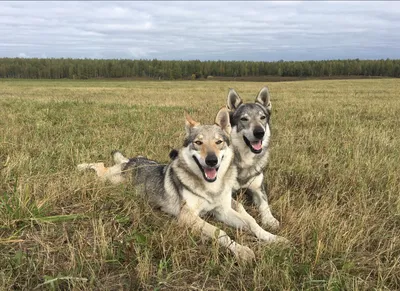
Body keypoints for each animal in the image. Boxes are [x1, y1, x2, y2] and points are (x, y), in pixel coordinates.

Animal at [77, 108, 284, 262]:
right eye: (198, 142)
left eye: (218, 142)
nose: (211, 161)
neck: (210, 188)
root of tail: (131, 161)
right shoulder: (188, 216)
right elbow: (222, 232)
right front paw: (242, 251)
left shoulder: (222, 210)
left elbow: (251, 222)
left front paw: (272, 237)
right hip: (110, 180)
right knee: (99, 165)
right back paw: (80, 166)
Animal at [227, 86, 280, 230]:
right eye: (244, 119)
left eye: (263, 117)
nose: (259, 132)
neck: (246, 158)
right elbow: (240, 206)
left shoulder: (257, 188)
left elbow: (265, 204)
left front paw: (270, 220)